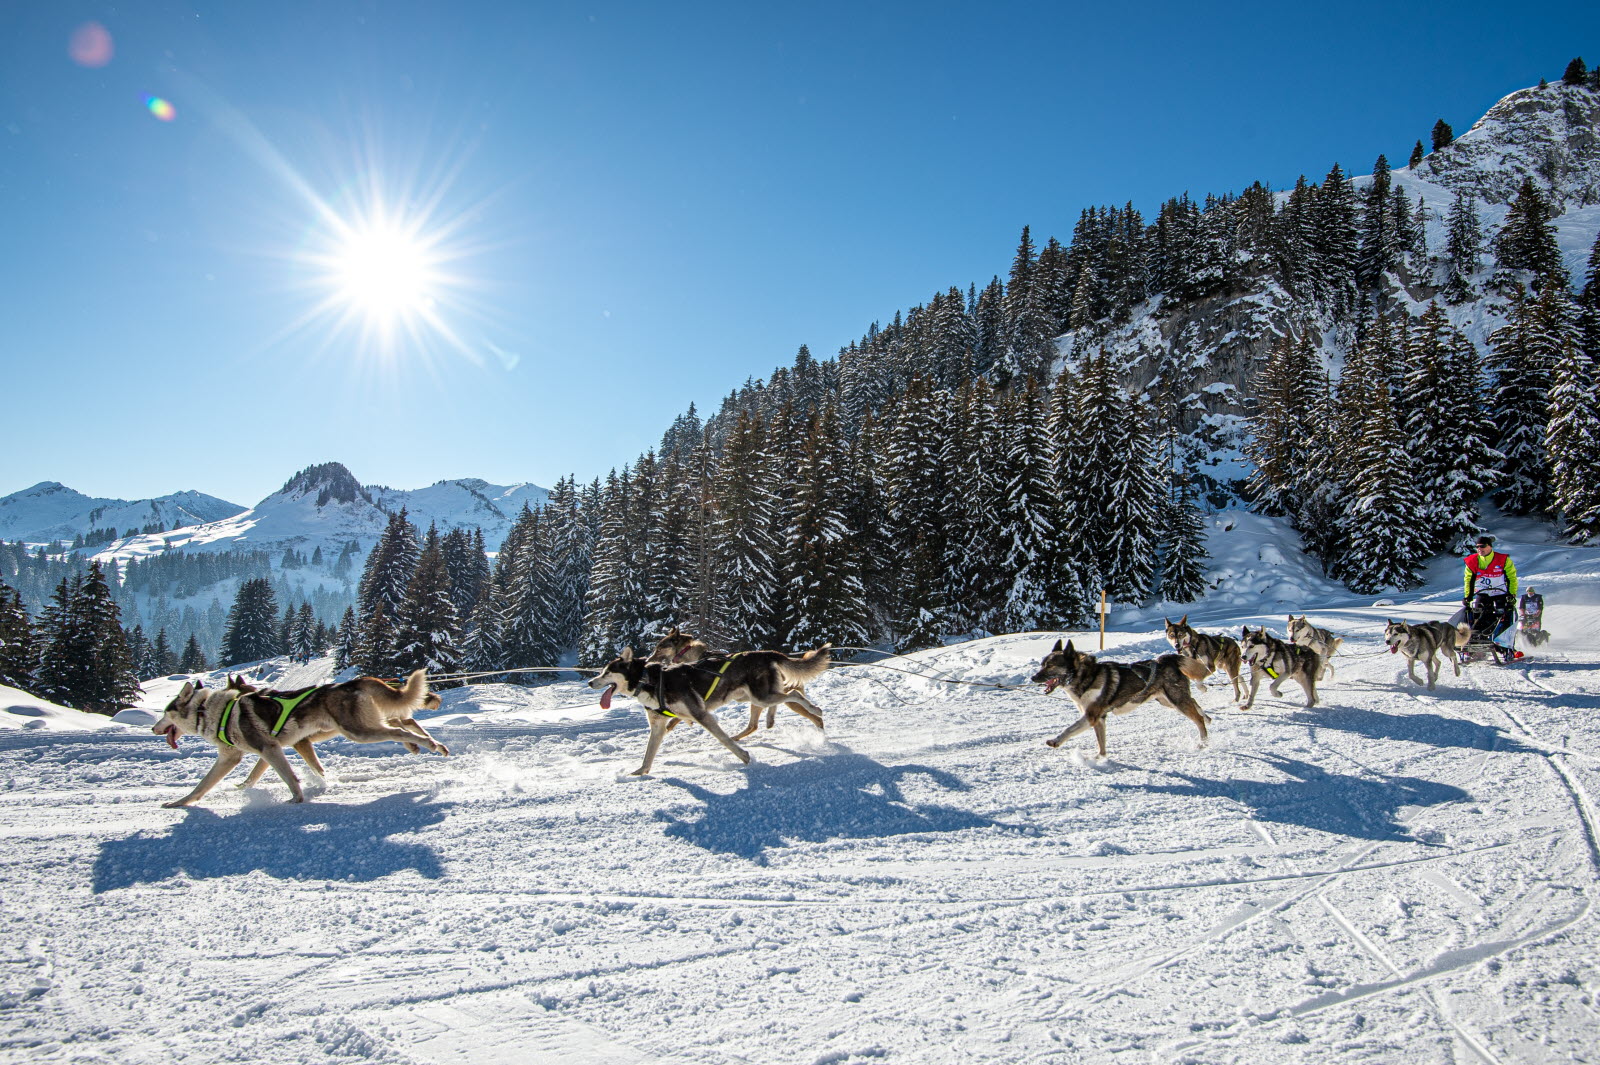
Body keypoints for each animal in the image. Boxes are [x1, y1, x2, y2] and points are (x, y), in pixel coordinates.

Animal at [151, 670, 448, 807]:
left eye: (165, 712)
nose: (154, 728)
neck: (213, 710)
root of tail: (353, 682)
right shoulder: (244, 755)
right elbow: (203, 786)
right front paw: (179, 803)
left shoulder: (270, 749)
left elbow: (290, 777)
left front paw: (297, 799)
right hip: (364, 725)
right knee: (400, 723)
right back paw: (424, 744)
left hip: (358, 731)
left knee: (400, 729)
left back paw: (429, 744)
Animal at [588, 645, 831, 776]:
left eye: (607, 672)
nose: (590, 682)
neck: (647, 680)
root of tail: (765, 652)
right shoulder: (658, 726)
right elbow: (649, 753)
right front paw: (641, 772)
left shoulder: (701, 714)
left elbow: (724, 740)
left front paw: (744, 757)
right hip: (754, 697)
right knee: (781, 700)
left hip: (760, 696)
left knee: (795, 694)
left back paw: (815, 709)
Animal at [1030, 639, 1210, 758]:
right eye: (1042, 664)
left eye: (1050, 666)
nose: (1033, 677)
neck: (1086, 677)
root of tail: (1166, 659)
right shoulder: (1100, 719)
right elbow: (1101, 745)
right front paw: (1099, 758)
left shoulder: (1091, 716)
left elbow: (1069, 729)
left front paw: (1055, 741)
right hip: (1167, 701)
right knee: (1195, 703)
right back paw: (1207, 717)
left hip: (1176, 700)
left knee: (1198, 719)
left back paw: (1203, 742)